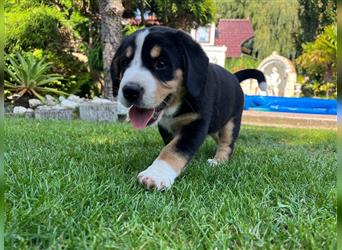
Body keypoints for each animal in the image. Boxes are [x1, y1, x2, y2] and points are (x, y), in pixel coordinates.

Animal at [111, 26, 266, 190]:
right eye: (125, 62)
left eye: (161, 63)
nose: (130, 91)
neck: (176, 104)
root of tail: (234, 77)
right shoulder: (165, 126)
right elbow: (172, 145)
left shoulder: (196, 123)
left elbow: (174, 149)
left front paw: (156, 174)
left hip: (232, 121)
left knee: (226, 143)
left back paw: (218, 161)